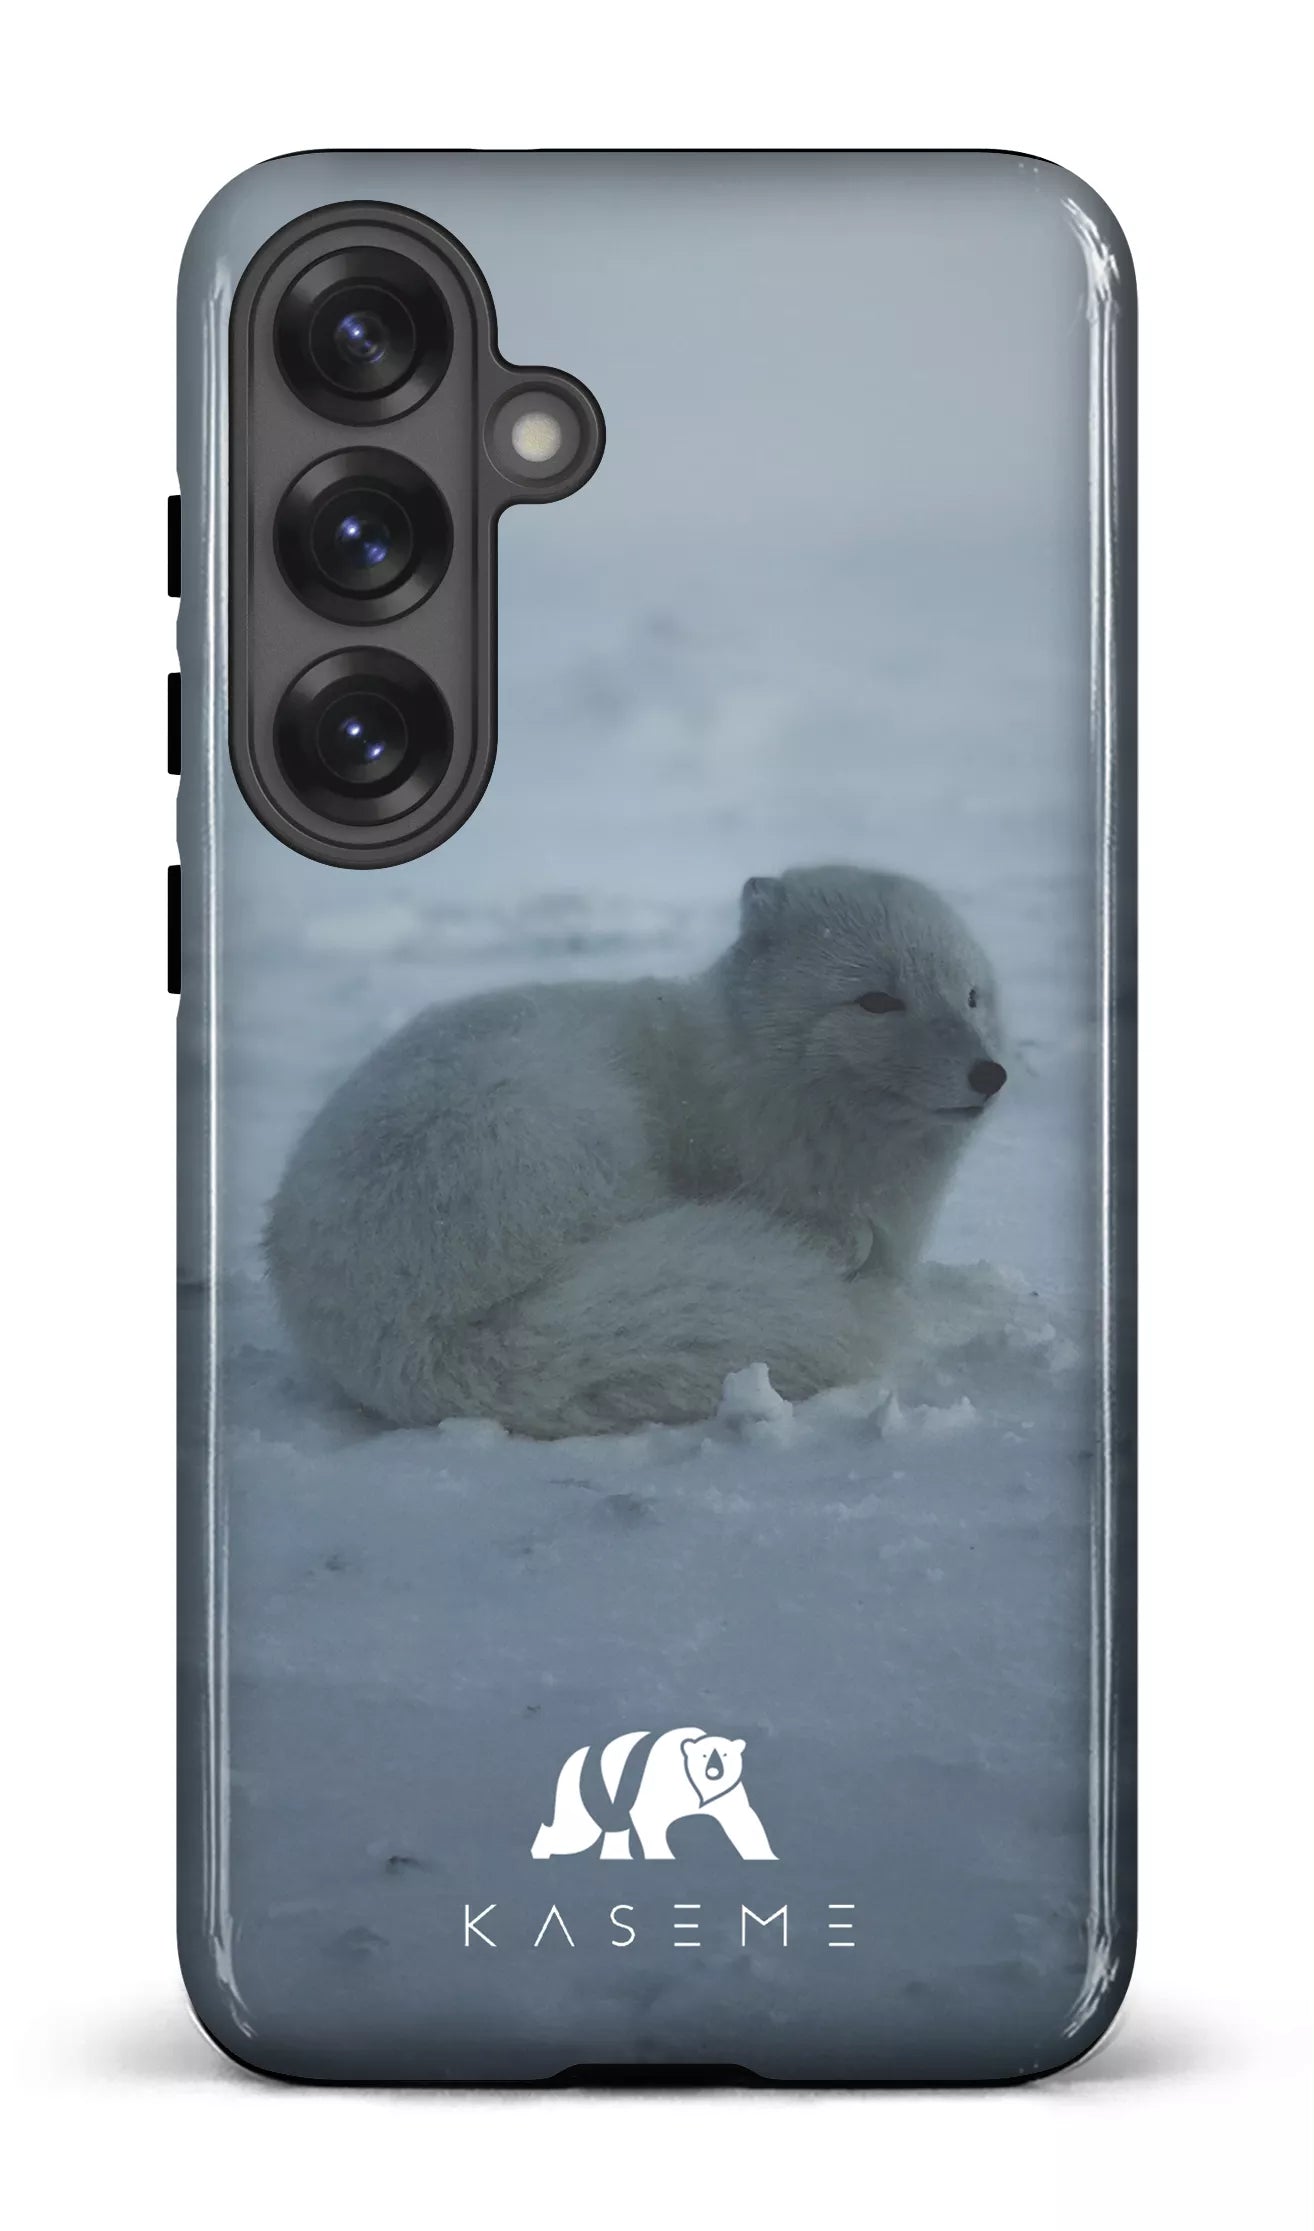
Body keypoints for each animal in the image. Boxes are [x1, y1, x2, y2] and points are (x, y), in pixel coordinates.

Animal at [265, 866, 1007, 1437]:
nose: (990, 1073)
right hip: (563, 1124)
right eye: (876, 1001)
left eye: (971, 996)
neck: (745, 1075)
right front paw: (840, 1243)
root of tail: (421, 1339)